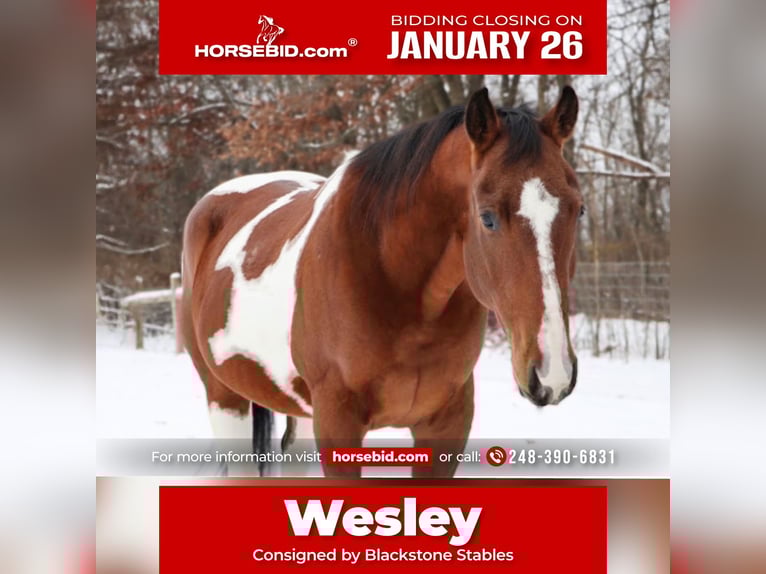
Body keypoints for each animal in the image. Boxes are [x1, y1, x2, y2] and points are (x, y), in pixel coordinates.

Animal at [181, 86, 583, 478]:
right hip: (225, 397)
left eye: (578, 209)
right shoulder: (338, 422)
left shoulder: (447, 424)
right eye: (487, 218)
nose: (552, 372)